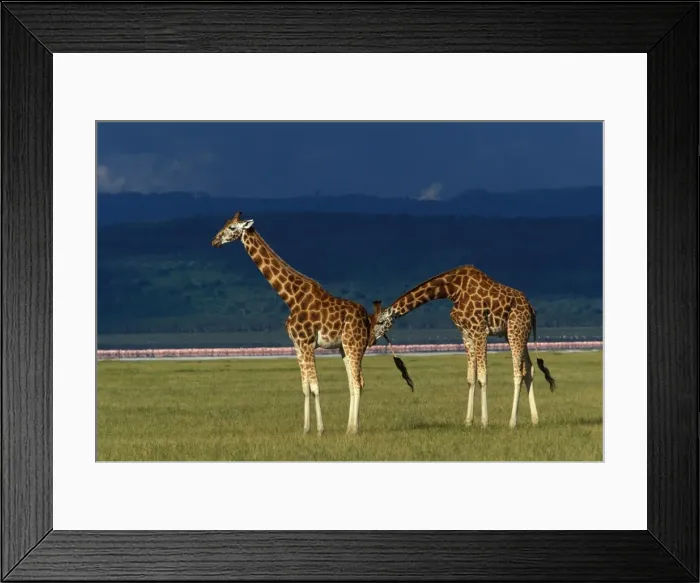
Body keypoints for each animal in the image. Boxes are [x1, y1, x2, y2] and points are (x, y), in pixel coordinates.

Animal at [211, 212, 385, 436]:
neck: (291, 298)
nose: (214, 241)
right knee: (355, 382)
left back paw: (352, 430)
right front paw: (305, 429)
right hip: (345, 348)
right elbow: (305, 388)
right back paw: (349, 428)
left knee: (357, 383)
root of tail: (367, 319)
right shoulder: (297, 345)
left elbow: (315, 386)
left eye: (232, 228)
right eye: (225, 224)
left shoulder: (307, 343)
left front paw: (320, 429)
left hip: (353, 344)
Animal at [371, 265, 556, 429]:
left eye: (380, 322)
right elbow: (470, 378)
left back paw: (512, 423)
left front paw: (484, 422)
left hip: (515, 331)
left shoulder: (480, 330)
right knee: (529, 369)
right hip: (516, 334)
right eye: (371, 322)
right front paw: (468, 422)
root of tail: (532, 310)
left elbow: (482, 376)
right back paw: (535, 420)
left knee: (518, 372)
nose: (371, 340)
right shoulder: (466, 334)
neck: (452, 290)